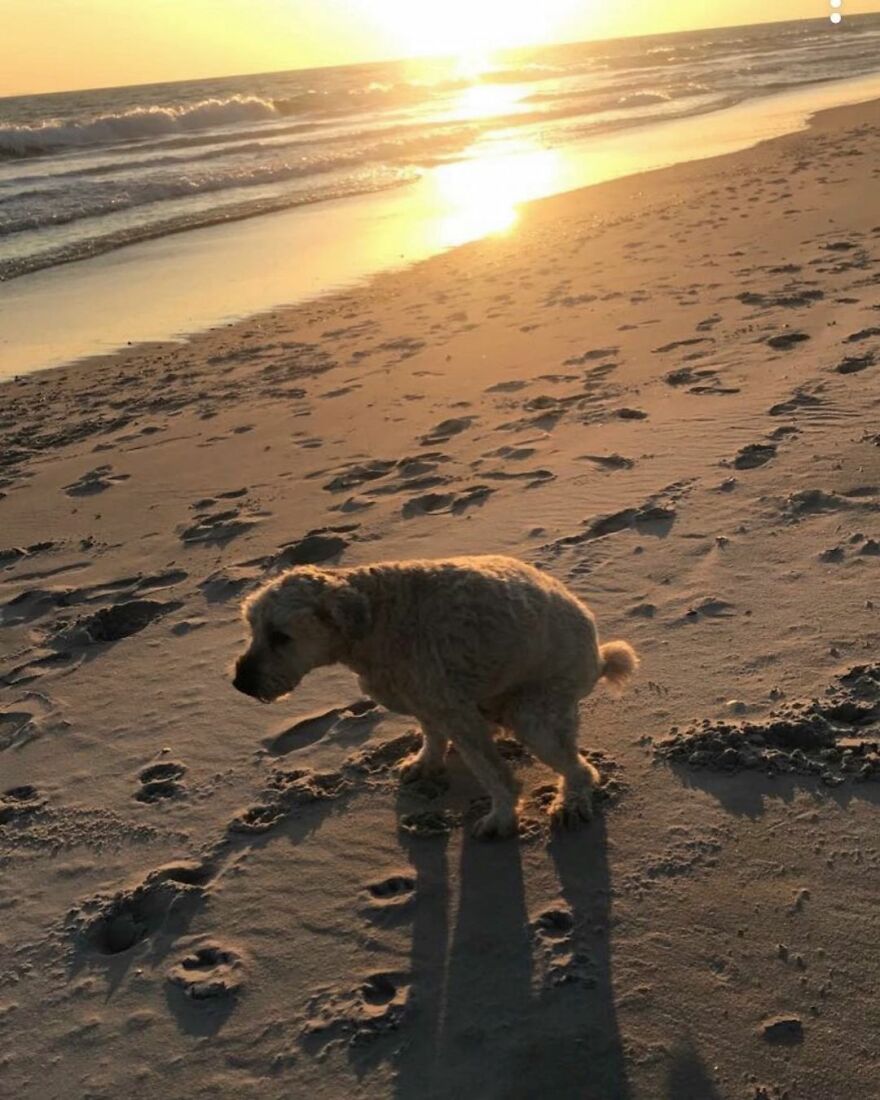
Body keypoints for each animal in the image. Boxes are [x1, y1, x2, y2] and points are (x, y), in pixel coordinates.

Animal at [229, 554, 638, 836]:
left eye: (281, 636)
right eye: (252, 628)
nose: (240, 683)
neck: (379, 618)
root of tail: (598, 658)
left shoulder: (456, 711)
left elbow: (494, 773)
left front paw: (502, 816)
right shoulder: (425, 699)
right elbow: (432, 734)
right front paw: (427, 762)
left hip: (535, 710)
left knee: (578, 768)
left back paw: (570, 801)